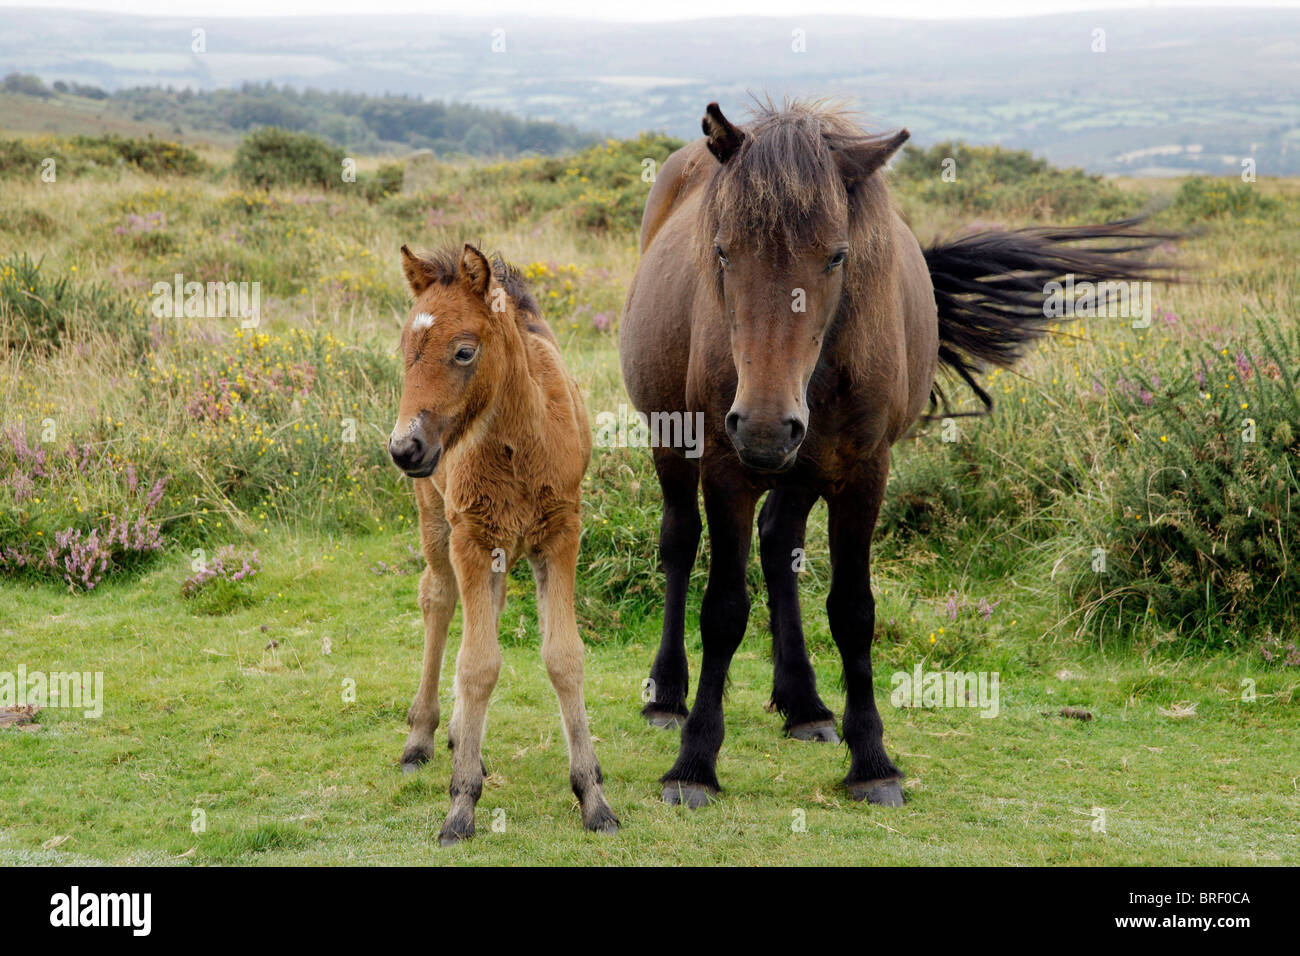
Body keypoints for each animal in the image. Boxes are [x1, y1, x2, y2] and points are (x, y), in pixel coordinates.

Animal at [387, 240, 616, 842]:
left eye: (464, 352)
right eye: (405, 350)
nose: (404, 448)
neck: (518, 441)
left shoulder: (560, 534)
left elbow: (563, 656)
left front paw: (593, 797)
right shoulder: (469, 536)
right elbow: (478, 664)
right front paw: (461, 804)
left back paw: (462, 737)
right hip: (435, 517)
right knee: (439, 600)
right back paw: (423, 738)